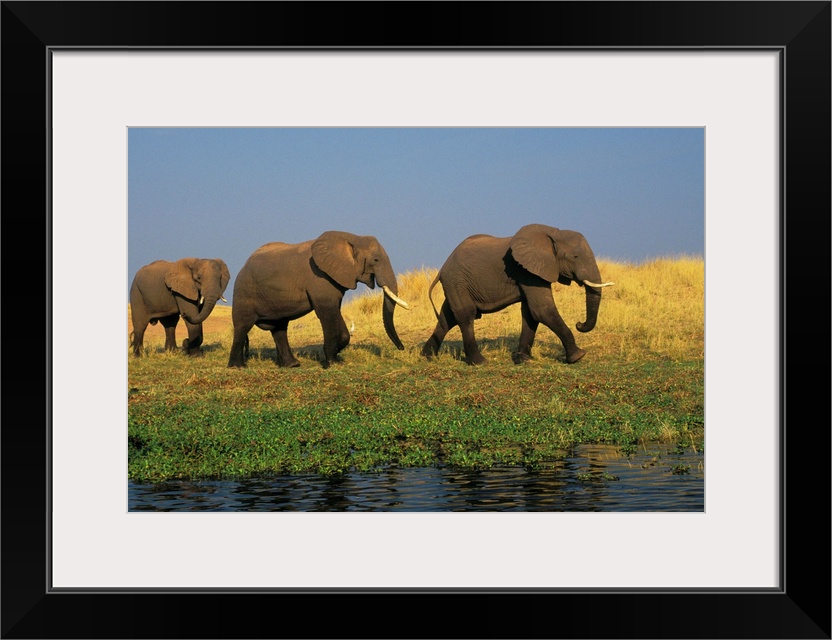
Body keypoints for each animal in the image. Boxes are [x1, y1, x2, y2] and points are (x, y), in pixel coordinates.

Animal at [228, 230, 410, 370]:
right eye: (376, 260)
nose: (402, 348)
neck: (352, 238)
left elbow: (336, 311)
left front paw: (337, 357)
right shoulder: (319, 278)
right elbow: (327, 313)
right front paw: (332, 364)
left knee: (279, 328)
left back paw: (292, 365)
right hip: (244, 292)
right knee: (243, 325)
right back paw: (238, 367)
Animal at [422, 224, 612, 364]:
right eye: (575, 257)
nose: (579, 324)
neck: (552, 233)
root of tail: (442, 268)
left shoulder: (530, 272)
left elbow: (531, 314)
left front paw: (524, 360)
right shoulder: (527, 271)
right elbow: (542, 310)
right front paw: (578, 356)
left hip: (456, 284)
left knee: (447, 318)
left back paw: (427, 356)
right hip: (456, 281)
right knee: (465, 315)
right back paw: (479, 362)